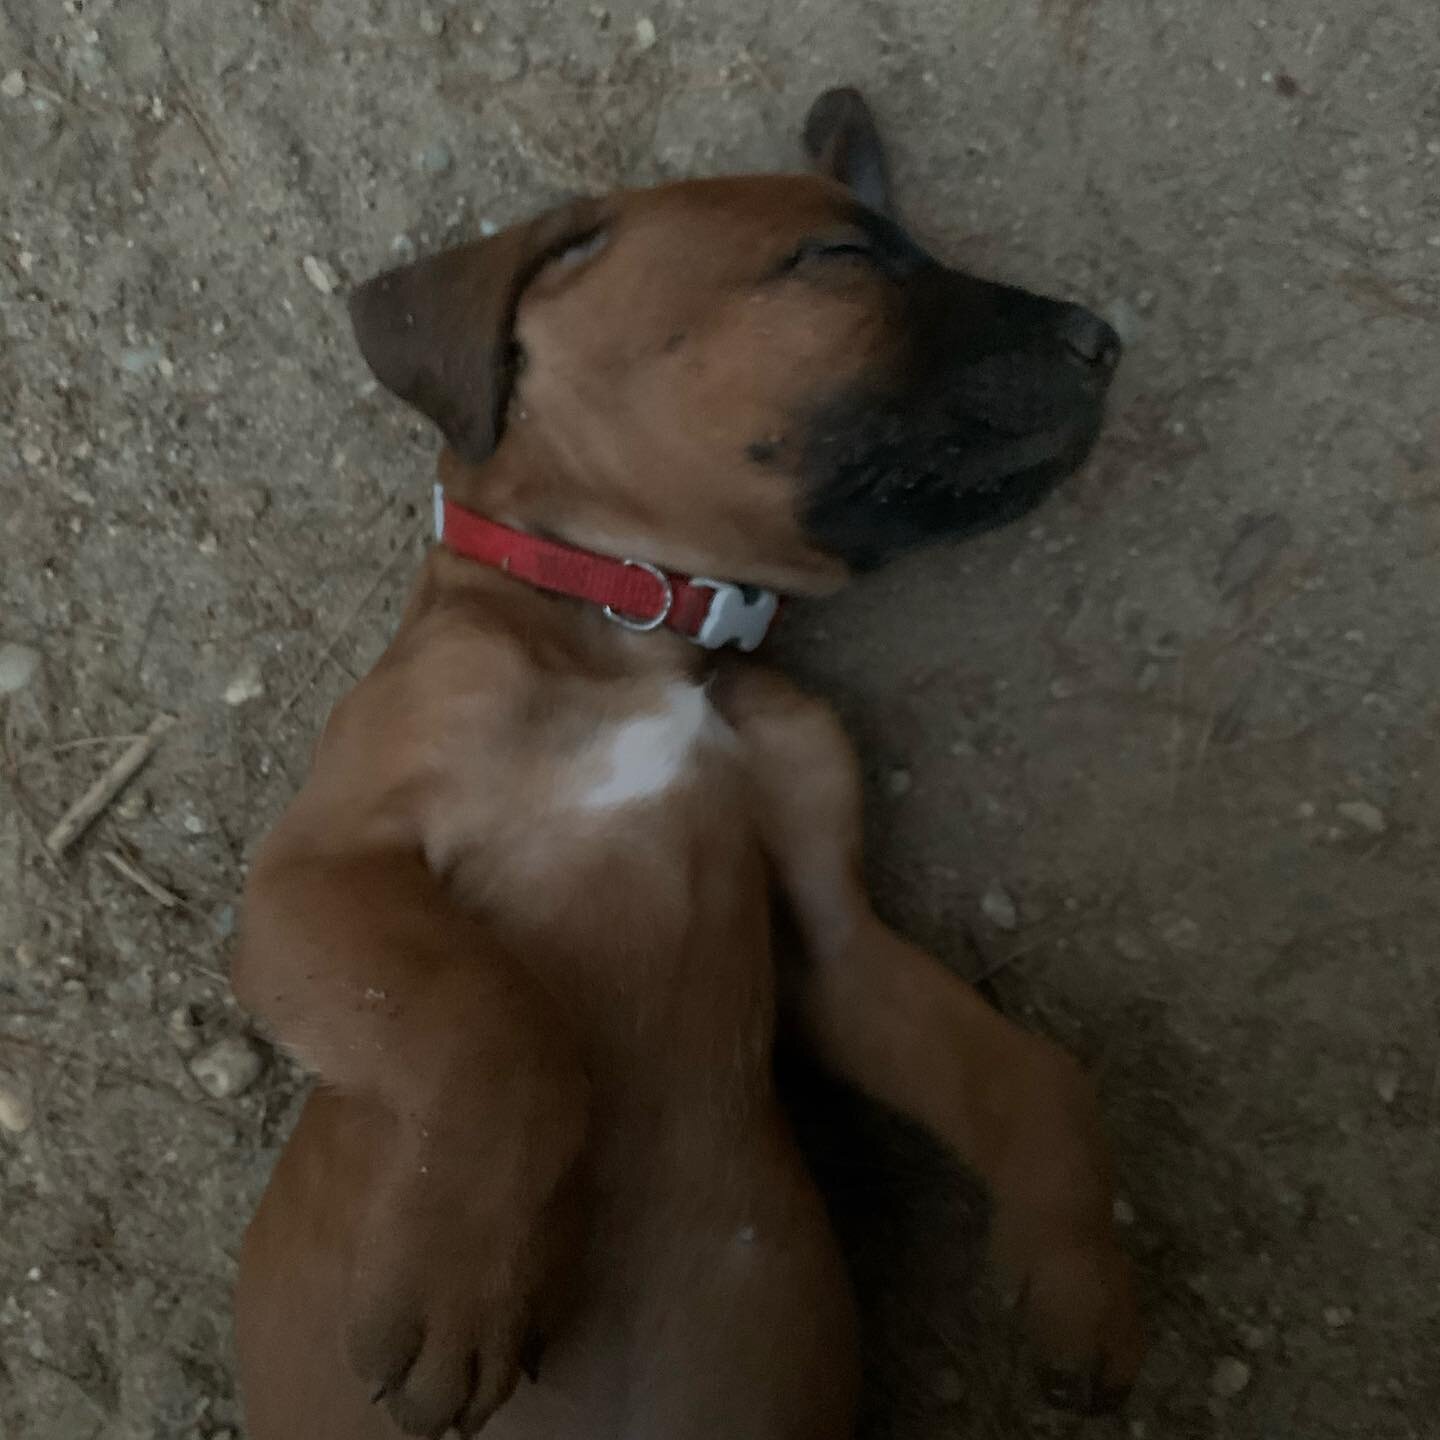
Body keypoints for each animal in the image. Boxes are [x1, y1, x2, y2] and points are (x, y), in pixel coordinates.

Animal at [233, 92, 1134, 1440]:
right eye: (839, 257)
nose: (1106, 339)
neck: (641, 623)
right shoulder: (316, 870)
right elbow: (497, 1014)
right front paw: (460, 1277)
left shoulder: (837, 942)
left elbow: (1032, 1072)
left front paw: (1076, 1271)